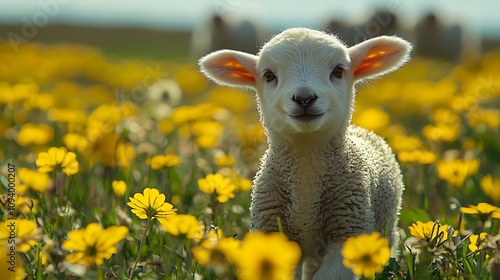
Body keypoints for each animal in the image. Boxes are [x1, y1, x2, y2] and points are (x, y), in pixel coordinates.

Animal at [199, 27, 410, 278]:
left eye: (338, 71)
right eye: (268, 75)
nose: (304, 98)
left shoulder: (348, 233)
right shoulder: (274, 232)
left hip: (387, 229)